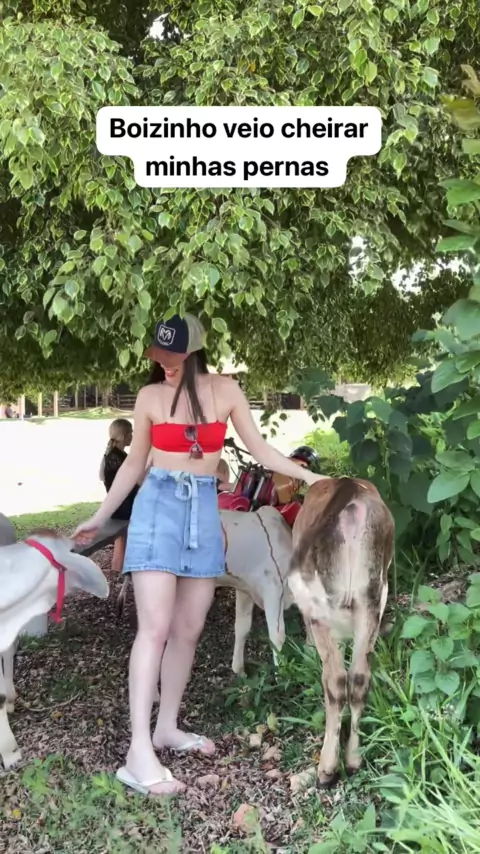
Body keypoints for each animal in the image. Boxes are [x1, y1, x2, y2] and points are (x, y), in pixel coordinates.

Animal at [287, 477, 394, 787]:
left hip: (322, 605)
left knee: (334, 680)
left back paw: (327, 769)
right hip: (373, 595)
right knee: (359, 677)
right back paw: (355, 759)